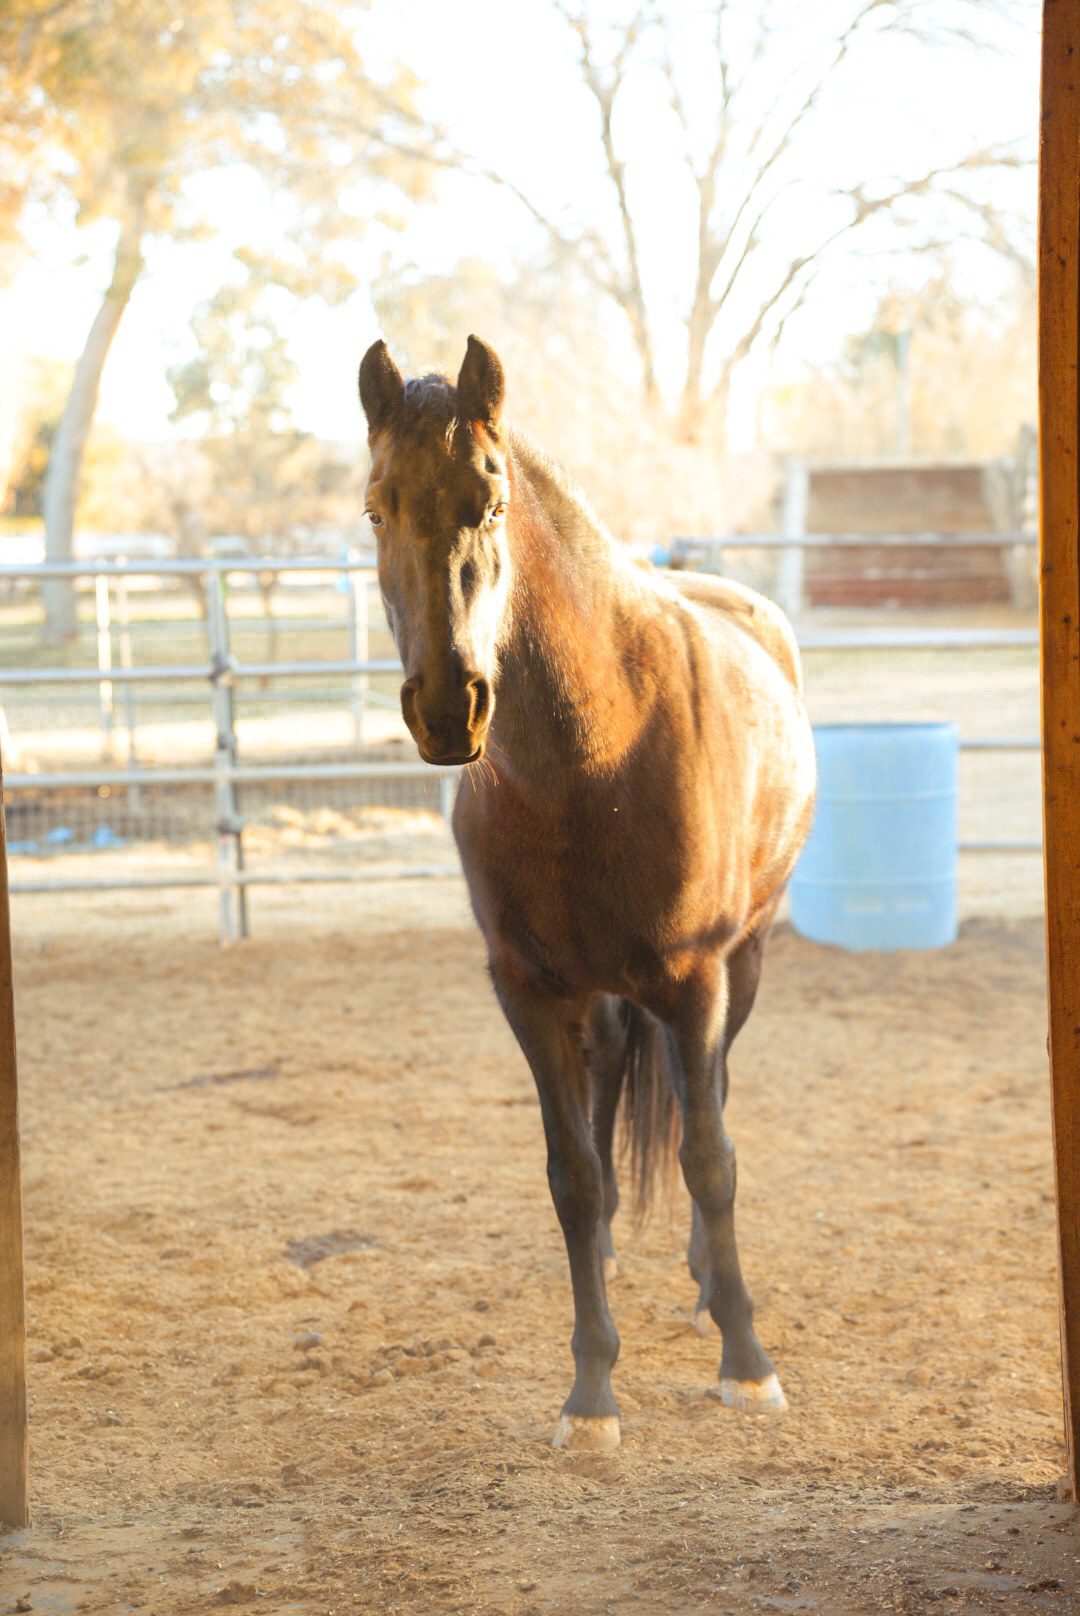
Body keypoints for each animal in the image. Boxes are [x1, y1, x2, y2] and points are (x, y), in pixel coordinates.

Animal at [358, 334, 817, 1451]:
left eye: (490, 501)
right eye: (376, 508)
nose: (449, 705)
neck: (594, 754)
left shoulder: (695, 982)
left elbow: (709, 1154)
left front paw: (747, 1361)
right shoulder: (527, 989)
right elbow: (571, 1175)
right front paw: (591, 1389)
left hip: (745, 964)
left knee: (708, 1104)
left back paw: (706, 1284)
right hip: (606, 995)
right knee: (614, 1090)